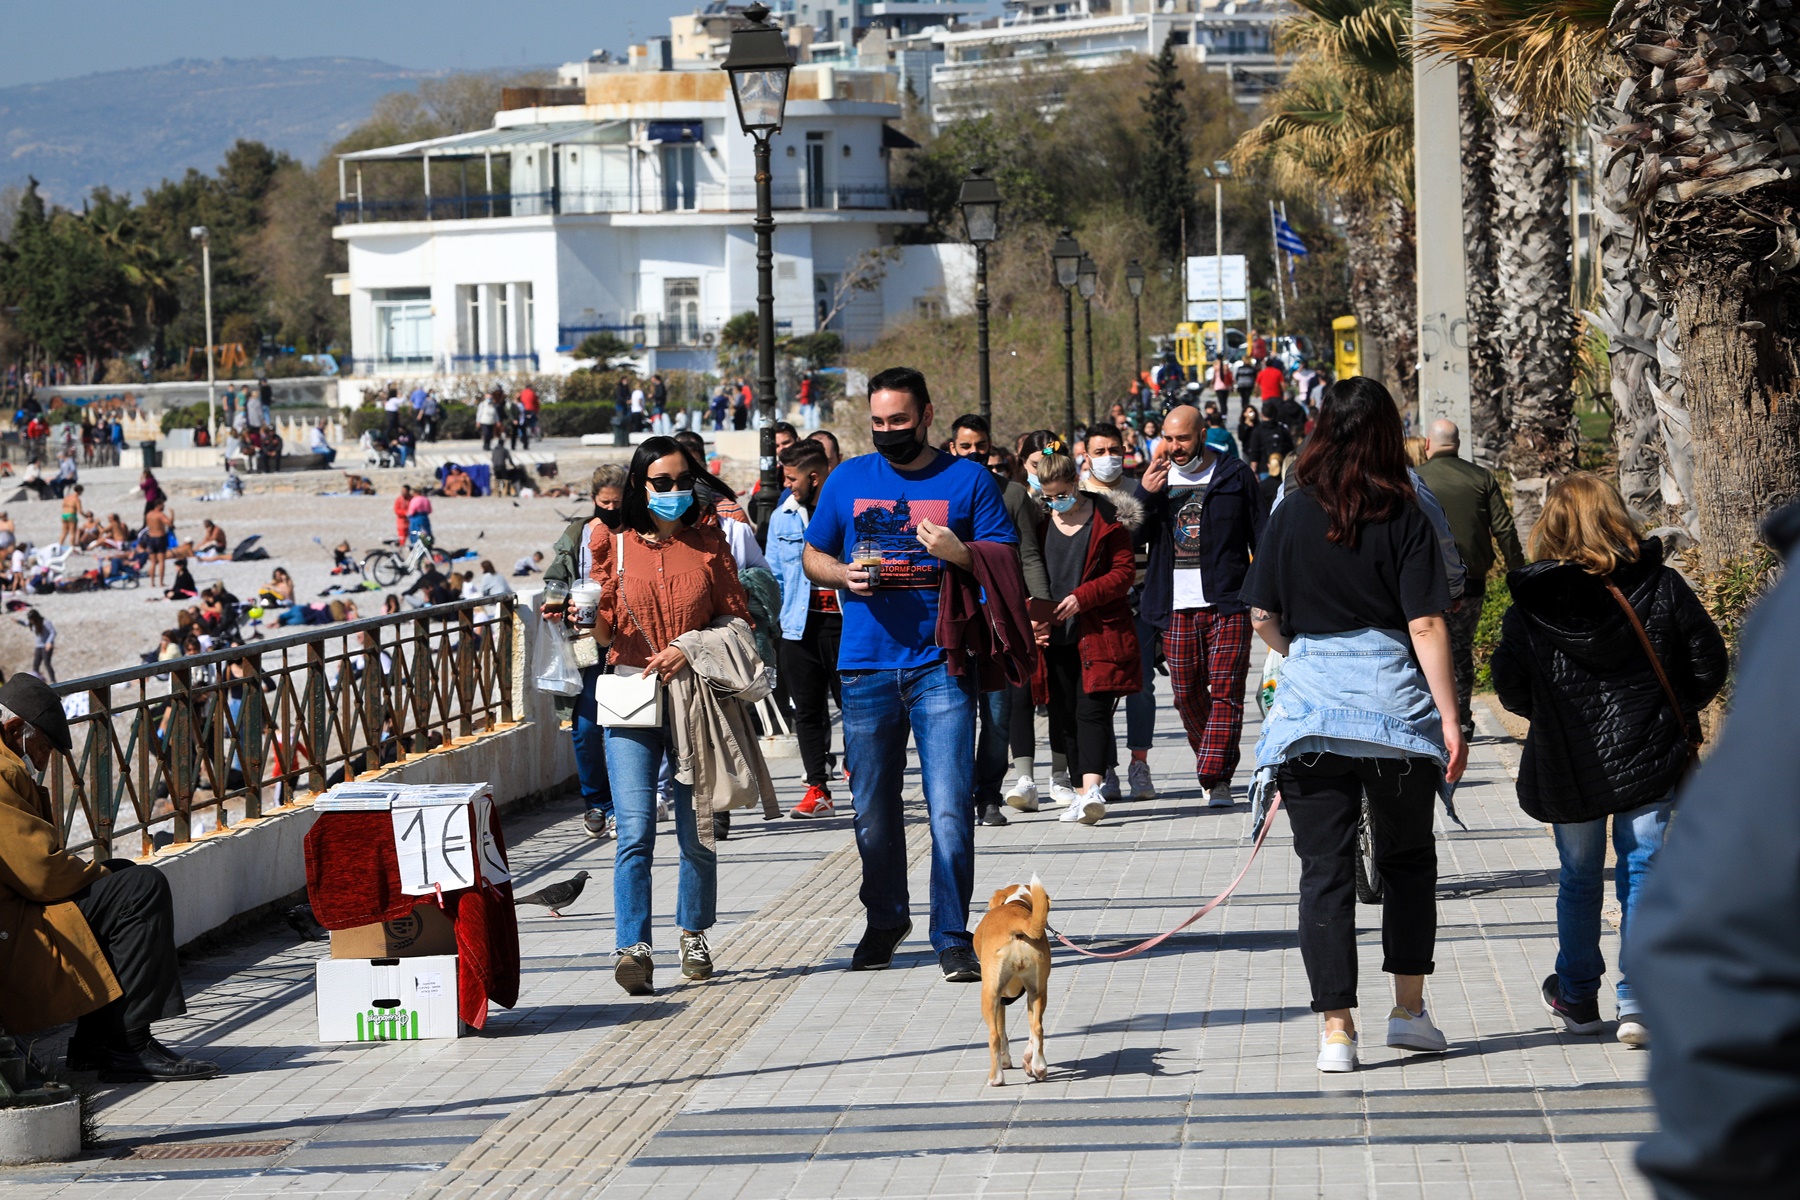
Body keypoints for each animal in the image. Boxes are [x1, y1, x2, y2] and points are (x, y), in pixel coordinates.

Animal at [972, 874, 1051, 1086]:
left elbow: (1002, 1035)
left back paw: (996, 1077)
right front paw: (1028, 1061)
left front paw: (1006, 1060)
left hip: (989, 994)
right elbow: (1032, 1030)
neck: (1016, 903)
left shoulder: (1001, 999)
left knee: (994, 1036)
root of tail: (1017, 922)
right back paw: (1039, 1066)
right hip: (1038, 991)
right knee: (1037, 1028)